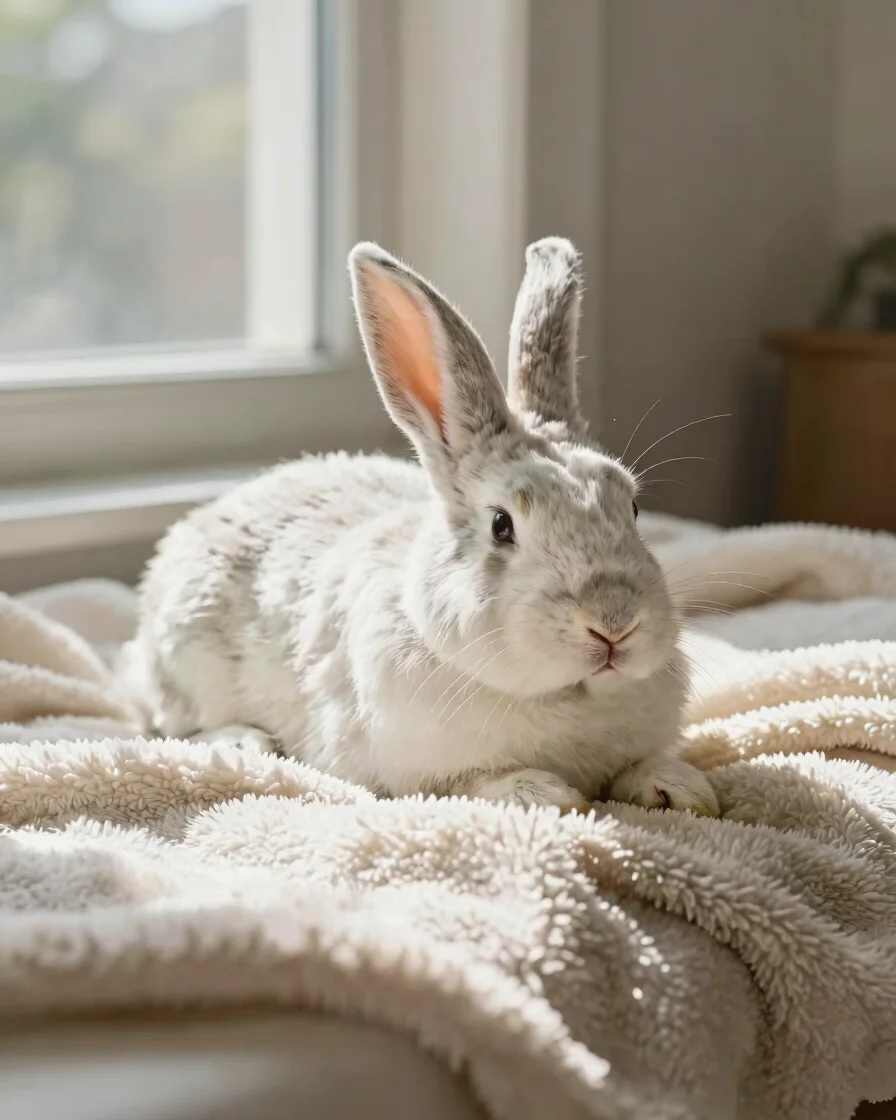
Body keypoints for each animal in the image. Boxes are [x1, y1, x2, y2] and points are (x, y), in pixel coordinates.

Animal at [123, 237, 718, 818]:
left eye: (632, 508)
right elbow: (476, 783)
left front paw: (682, 789)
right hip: (185, 658)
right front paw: (544, 795)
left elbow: (642, 766)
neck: (568, 696)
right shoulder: (413, 773)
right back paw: (245, 741)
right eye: (502, 525)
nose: (613, 623)